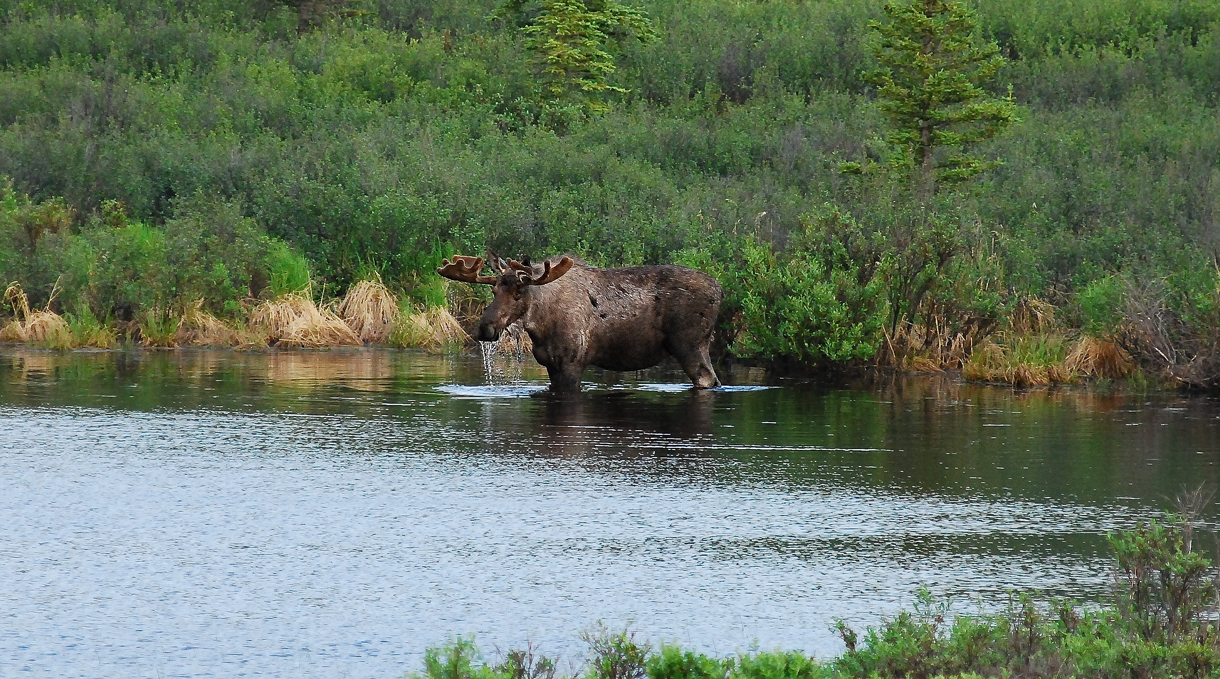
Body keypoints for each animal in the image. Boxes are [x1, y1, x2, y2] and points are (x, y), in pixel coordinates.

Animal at [441, 252, 717, 392]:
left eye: (518, 293)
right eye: (493, 291)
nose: (485, 328)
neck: (540, 325)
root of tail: (720, 290)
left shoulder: (572, 363)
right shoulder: (550, 364)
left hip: (689, 345)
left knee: (707, 379)